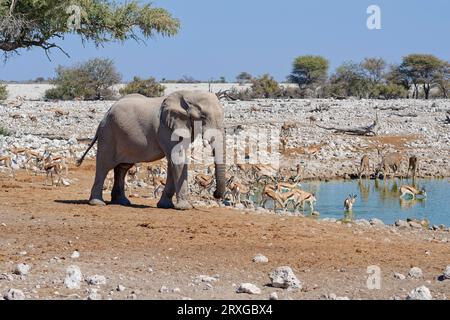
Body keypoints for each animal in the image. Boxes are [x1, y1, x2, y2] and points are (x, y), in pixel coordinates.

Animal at [76, 90, 229, 210]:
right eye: (202, 117)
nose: (215, 194)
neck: (189, 94)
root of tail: (104, 117)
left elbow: (173, 162)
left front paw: (165, 206)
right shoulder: (167, 128)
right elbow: (177, 159)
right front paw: (185, 207)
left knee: (123, 167)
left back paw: (122, 202)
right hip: (108, 134)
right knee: (104, 165)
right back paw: (97, 203)